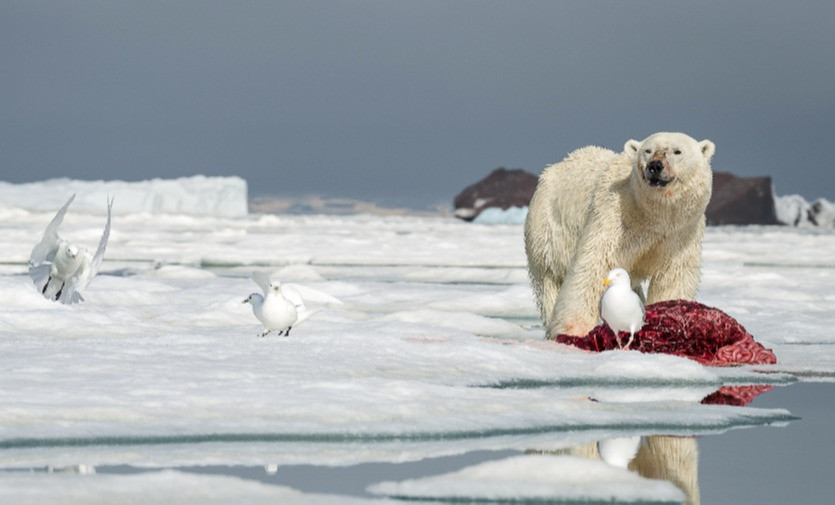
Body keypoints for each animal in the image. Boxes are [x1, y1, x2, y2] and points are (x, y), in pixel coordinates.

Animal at [524, 132, 716, 336]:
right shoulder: (614, 219)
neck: (653, 218)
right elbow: (593, 266)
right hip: (546, 232)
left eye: (677, 151)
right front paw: (573, 330)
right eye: (647, 151)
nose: (655, 166)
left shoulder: (681, 234)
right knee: (548, 281)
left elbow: (673, 276)